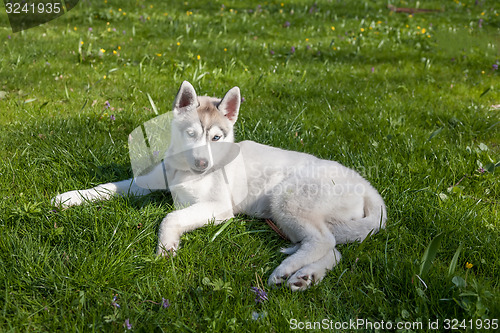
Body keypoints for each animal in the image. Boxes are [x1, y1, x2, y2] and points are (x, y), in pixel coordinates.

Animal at [52, 81, 386, 290]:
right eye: (191, 134)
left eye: (217, 137)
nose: (203, 164)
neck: (186, 173)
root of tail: (365, 185)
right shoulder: (145, 184)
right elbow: (108, 187)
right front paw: (70, 198)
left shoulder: (219, 207)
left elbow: (170, 216)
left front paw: (166, 247)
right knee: (333, 249)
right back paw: (306, 276)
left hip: (287, 201)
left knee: (322, 241)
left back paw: (287, 269)